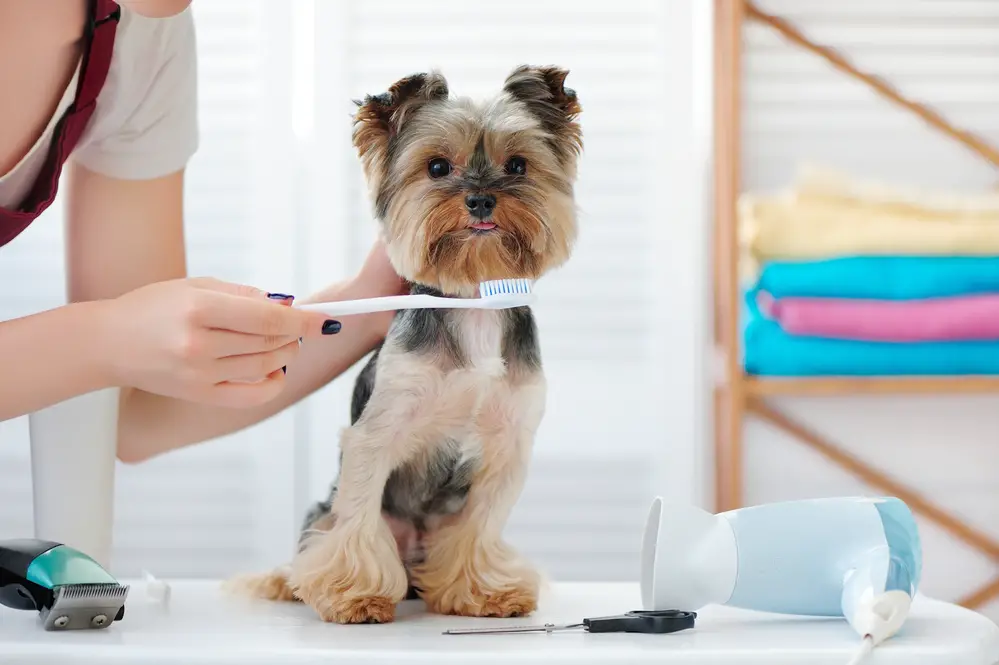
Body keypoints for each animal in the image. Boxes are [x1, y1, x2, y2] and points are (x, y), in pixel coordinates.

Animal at [229, 65, 584, 620]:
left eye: (518, 165)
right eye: (437, 166)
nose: (480, 199)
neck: (473, 302)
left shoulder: (508, 444)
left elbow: (481, 526)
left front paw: (485, 591)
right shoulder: (378, 431)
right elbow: (357, 517)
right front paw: (355, 595)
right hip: (324, 509)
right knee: (324, 532)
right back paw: (294, 582)